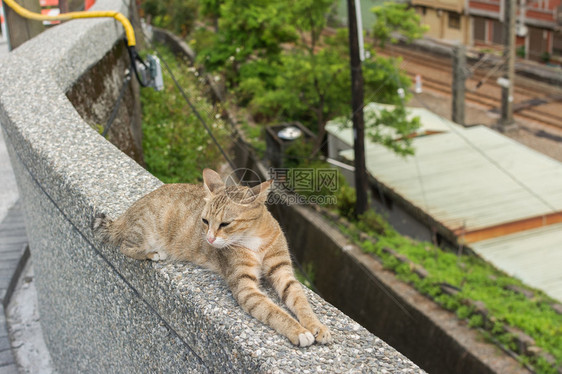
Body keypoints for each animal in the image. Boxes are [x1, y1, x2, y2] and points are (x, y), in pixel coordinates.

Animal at [91, 168, 328, 346]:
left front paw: (316, 326)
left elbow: (300, 300)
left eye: (225, 224)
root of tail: (126, 214)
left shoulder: (283, 272)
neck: (254, 239)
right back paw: (153, 253)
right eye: (205, 221)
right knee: (125, 246)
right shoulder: (246, 287)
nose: (210, 239)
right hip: (143, 232)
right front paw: (298, 331)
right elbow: (274, 311)